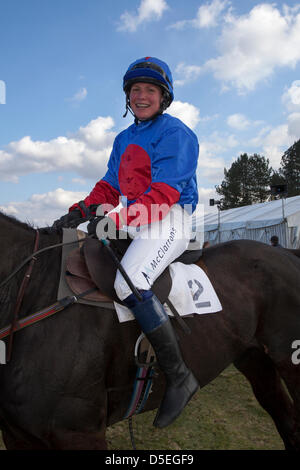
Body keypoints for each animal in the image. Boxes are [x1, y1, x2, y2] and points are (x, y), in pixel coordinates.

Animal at [0, 211, 300, 450]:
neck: (32, 290)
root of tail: (286, 253)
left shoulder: (79, 433)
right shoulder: (18, 435)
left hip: (289, 358)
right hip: (254, 358)